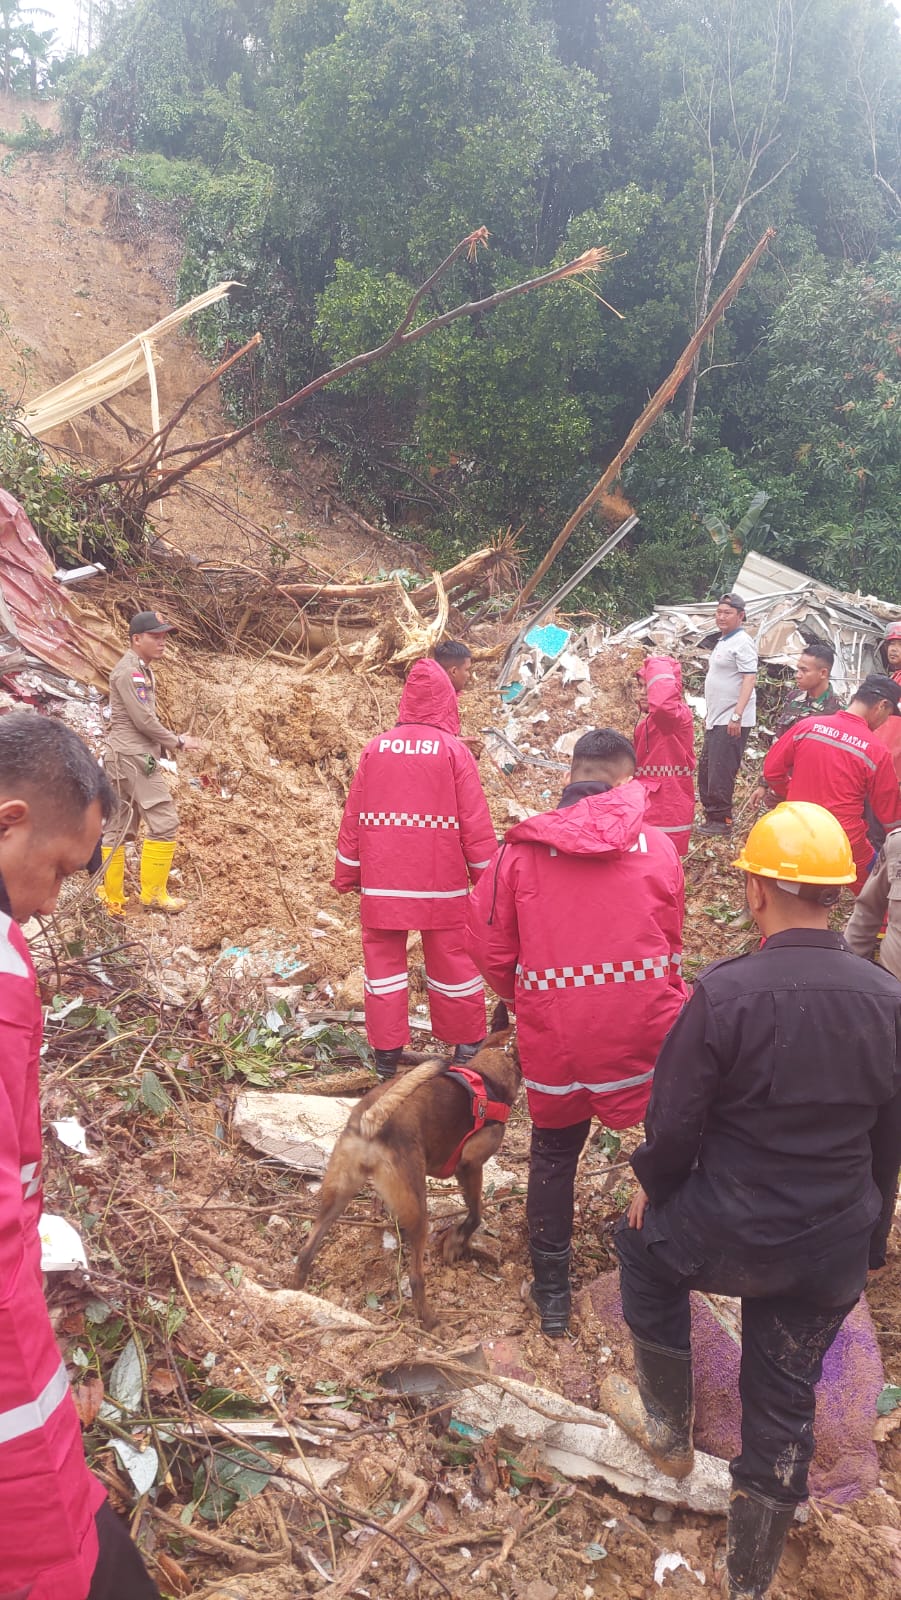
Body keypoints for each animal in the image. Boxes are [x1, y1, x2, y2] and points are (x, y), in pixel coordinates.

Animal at [294, 1004, 521, 1331]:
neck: (492, 1068)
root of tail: (373, 1120)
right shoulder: (470, 1166)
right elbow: (476, 1214)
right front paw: (456, 1243)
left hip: (336, 1196)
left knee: (305, 1252)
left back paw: (297, 1292)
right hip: (418, 1210)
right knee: (415, 1277)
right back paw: (430, 1320)